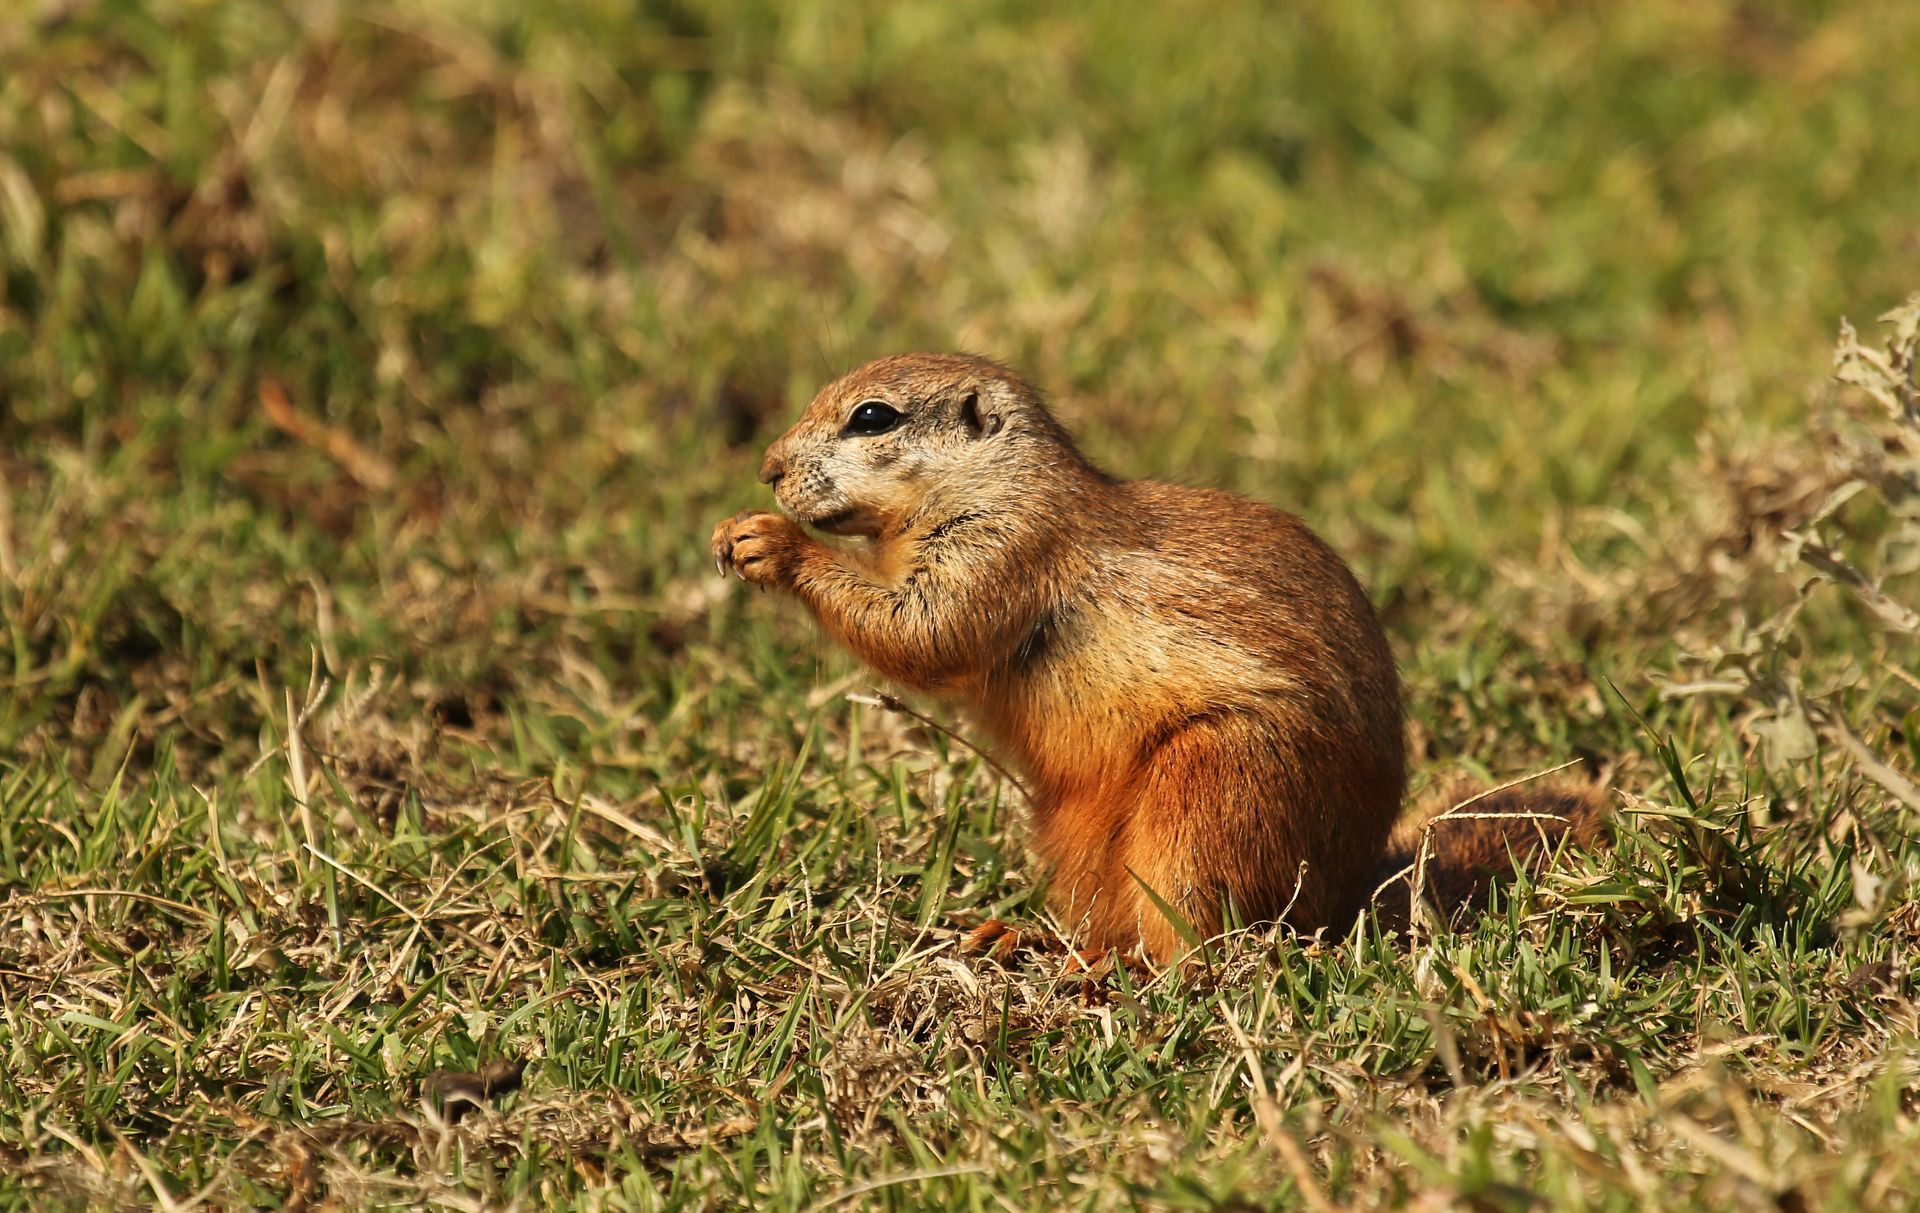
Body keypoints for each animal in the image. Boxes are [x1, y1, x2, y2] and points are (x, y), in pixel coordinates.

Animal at [710, 353, 1605, 963]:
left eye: (872, 416)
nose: (767, 468)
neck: (996, 479)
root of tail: (1346, 895)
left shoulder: (1004, 545)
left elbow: (923, 627)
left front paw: (771, 542)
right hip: (1078, 831)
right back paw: (1023, 938)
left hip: (1212, 798)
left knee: (1196, 947)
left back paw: (1103, 972)